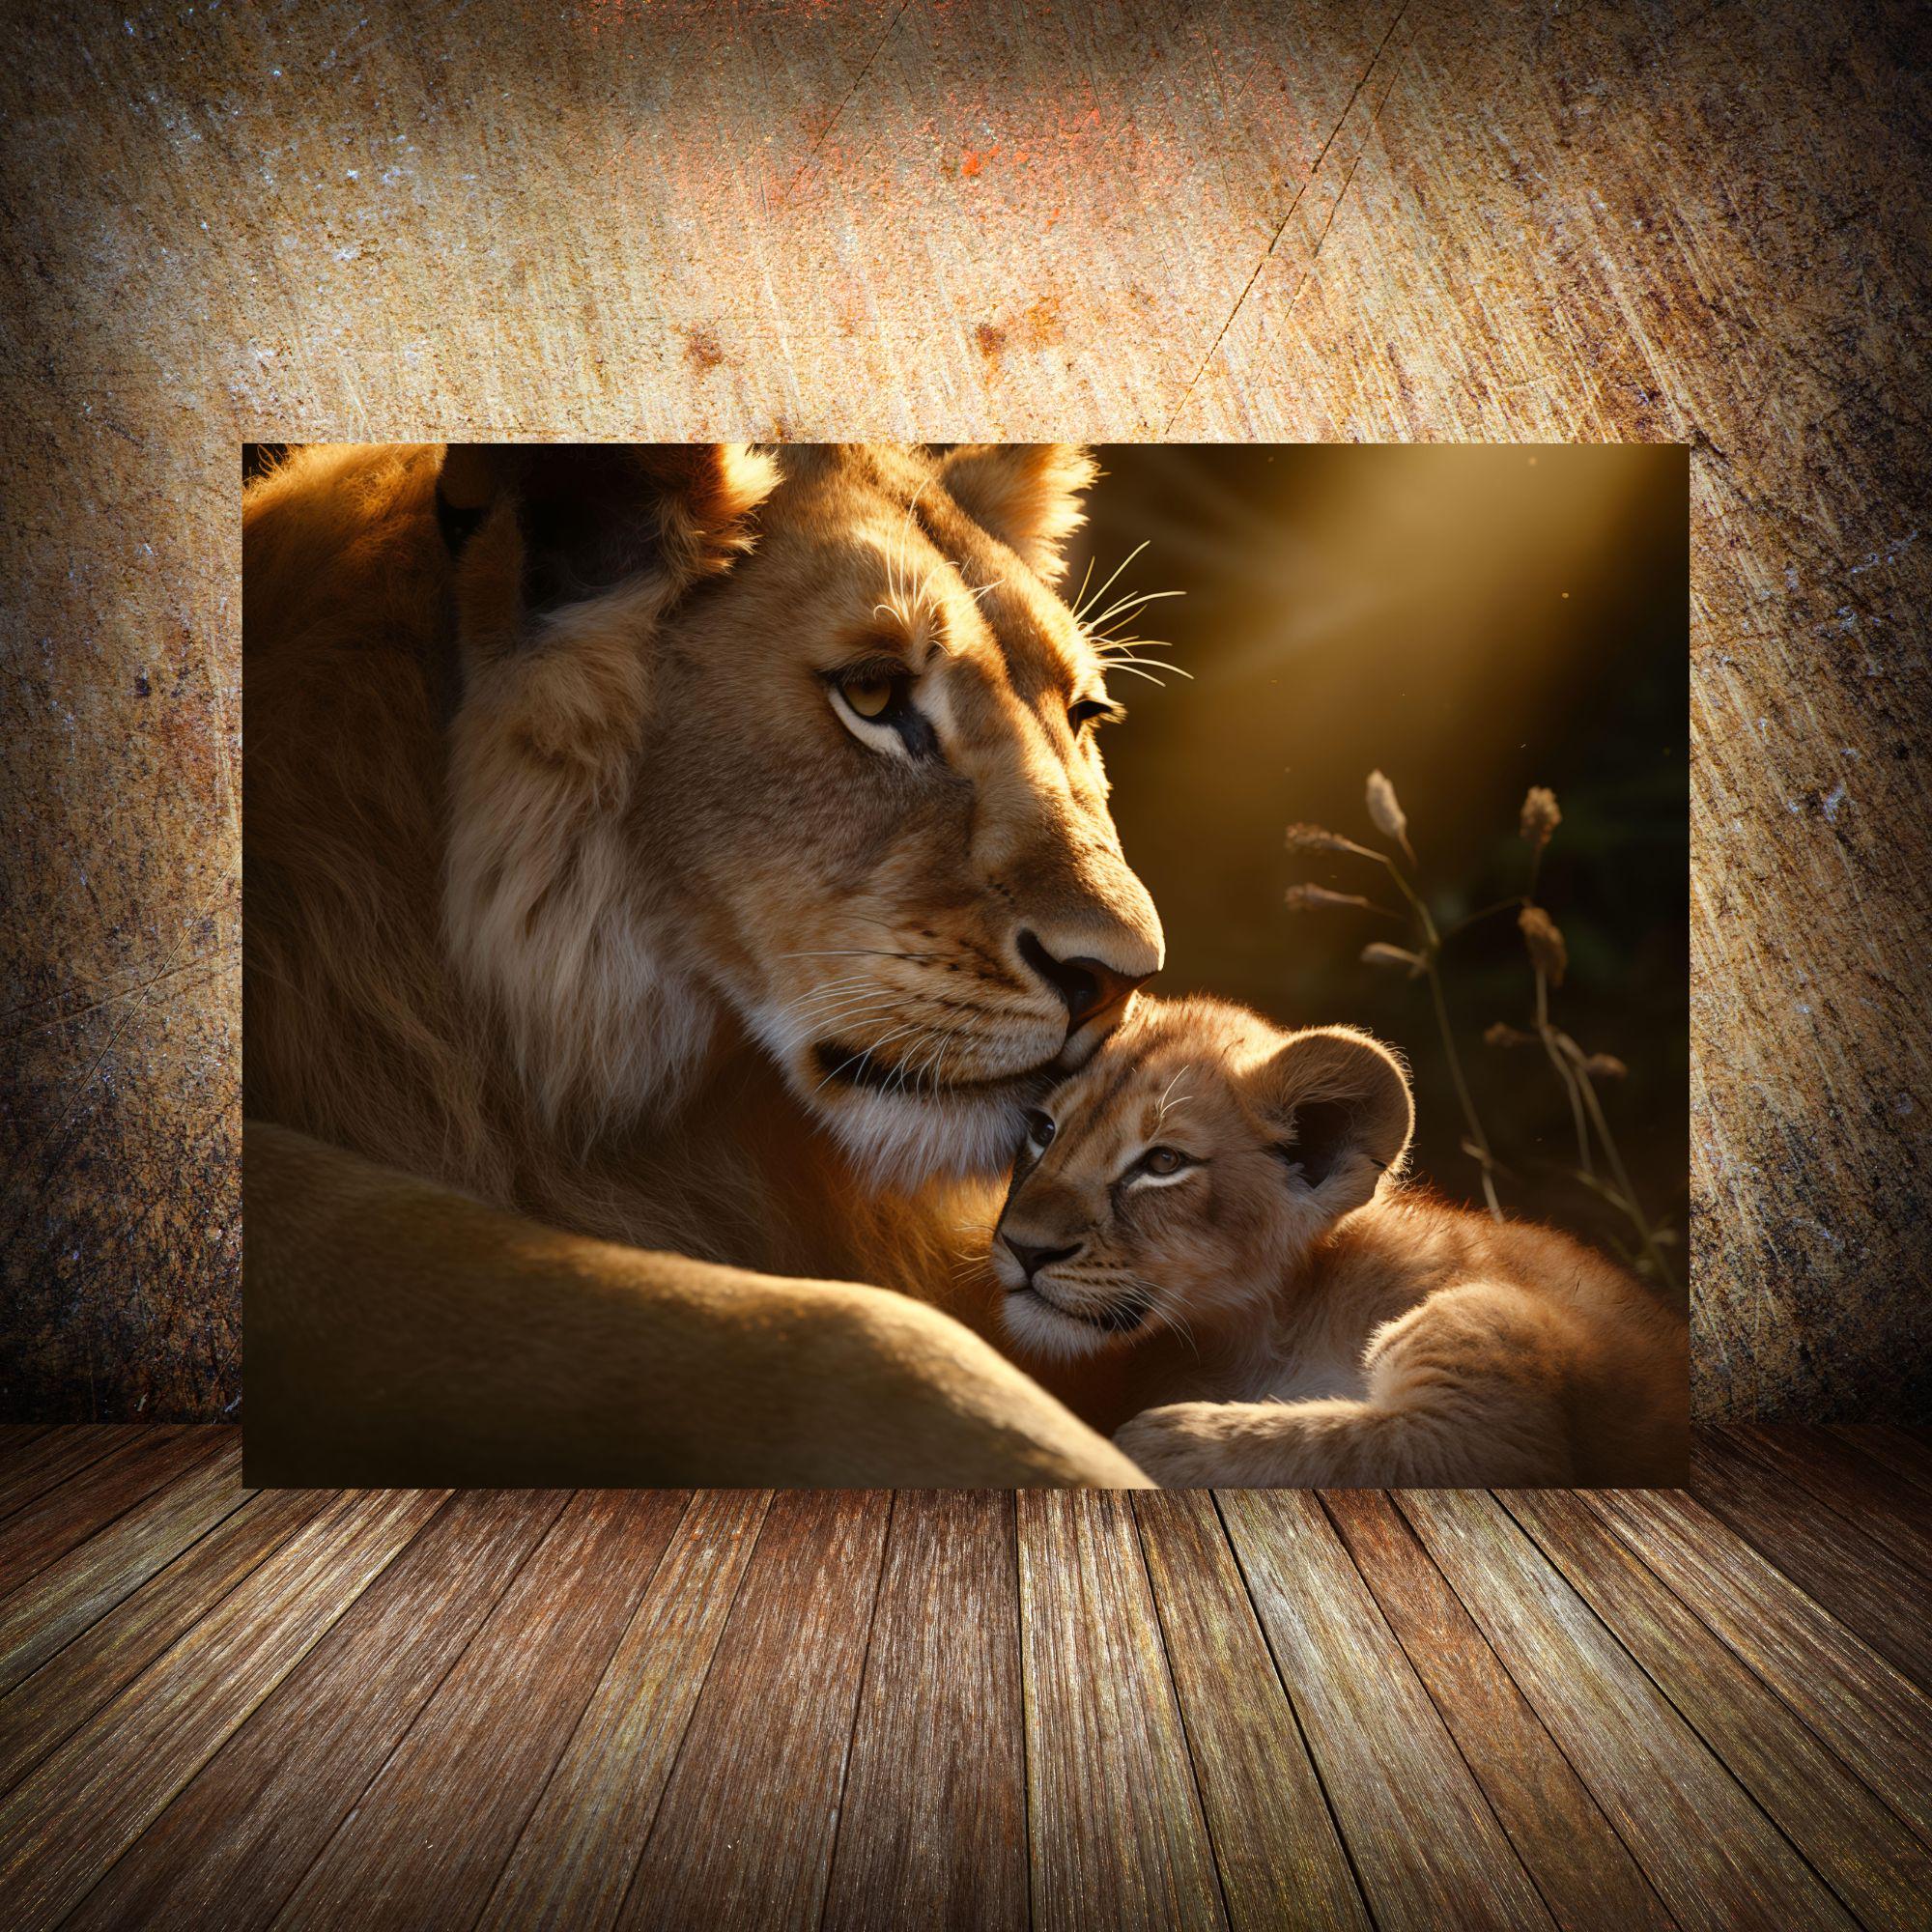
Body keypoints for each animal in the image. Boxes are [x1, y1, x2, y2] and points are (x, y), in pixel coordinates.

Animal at [980, 995, 1689, 1486]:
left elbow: (1343, 1448)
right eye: (1044, 1130)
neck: (1269, 1331)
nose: (1025, 1248)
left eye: (1163, 1163)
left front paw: (1150, 1443)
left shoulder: (1495, 1403)